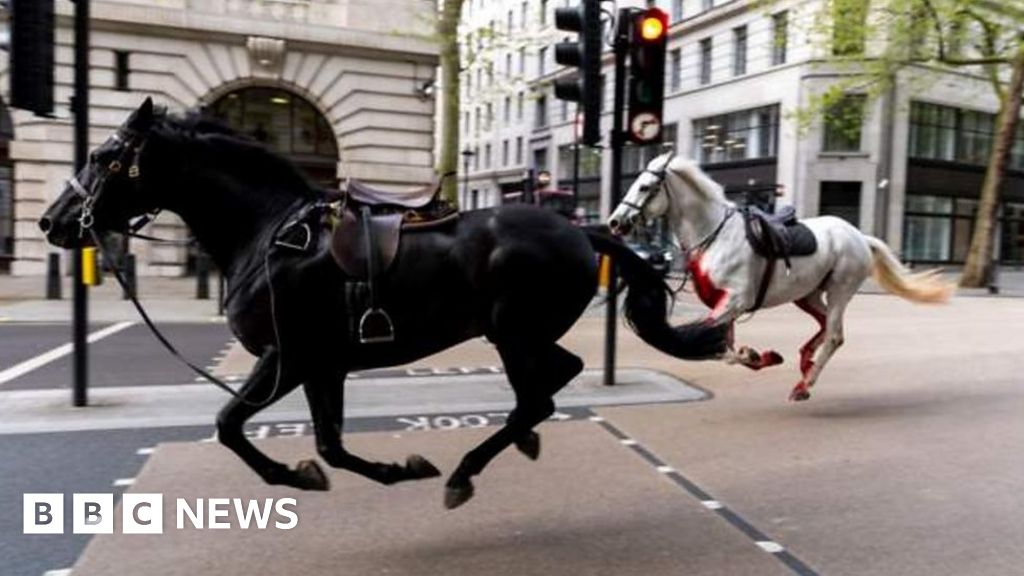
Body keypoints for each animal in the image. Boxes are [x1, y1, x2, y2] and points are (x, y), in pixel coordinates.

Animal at [39, 98, 729, 506]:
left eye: (103, 155)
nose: (53, 221)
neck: (267, 232)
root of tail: (583, 231)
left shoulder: (287, 358)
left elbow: (231, 425)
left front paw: (296, 475)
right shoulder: (322, 365)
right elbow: (329, 445)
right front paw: (388, 469)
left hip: (513, 334)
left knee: (539, 395)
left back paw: (466, 471)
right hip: (522, 334)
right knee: (556, 380)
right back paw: (516, 443)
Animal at [606, 152, 950, 399]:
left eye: (645, 187)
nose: (615, 222)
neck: (715, 235)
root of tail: (860, 237)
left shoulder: (735, 300)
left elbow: (700, 342)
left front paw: (757, 354)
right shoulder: (725, 305)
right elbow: (723, 347)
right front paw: (760, 356)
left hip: (840, 289)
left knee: (834, 335)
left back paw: (804, 385)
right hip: (808, 294)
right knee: (824, 326)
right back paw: (805, 363)